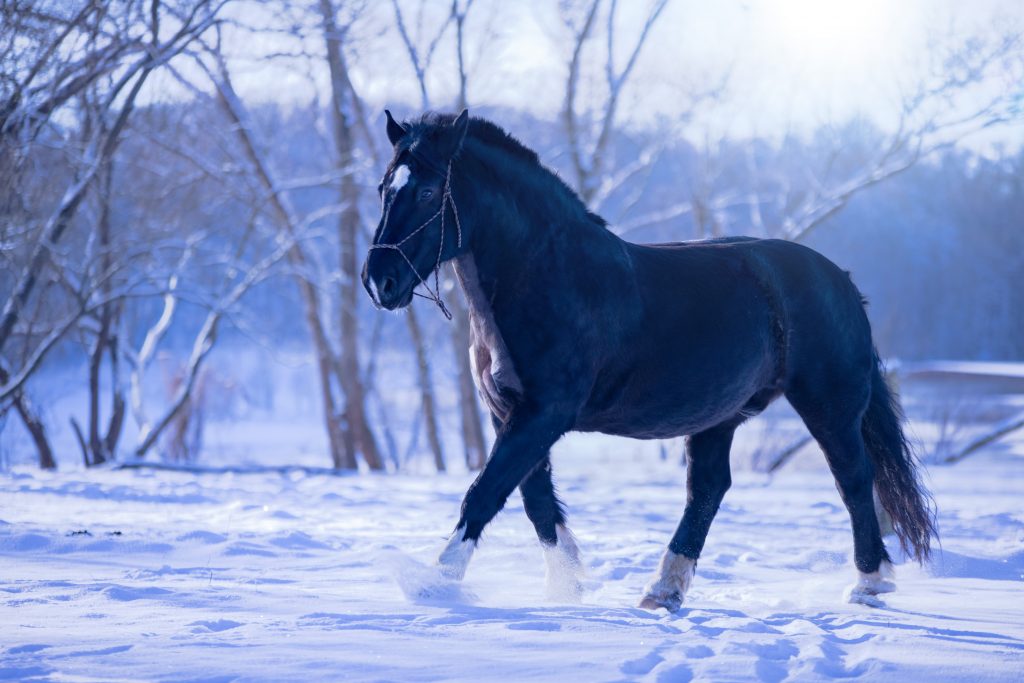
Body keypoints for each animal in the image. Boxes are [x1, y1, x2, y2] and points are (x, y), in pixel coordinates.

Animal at [361, 110, 936, 609]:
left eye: (429, 191)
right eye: (385, 188)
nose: (379, 280)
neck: (546, 275)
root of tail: (841, 280)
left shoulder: (543, 414)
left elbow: (485, 494)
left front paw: (434, 585)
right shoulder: (509, 413)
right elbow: (534, 500)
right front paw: (567, 587)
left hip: (828, 406)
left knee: (853, 480)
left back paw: (869, 584)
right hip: (718, 416)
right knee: (708, 490)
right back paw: (663, 591)